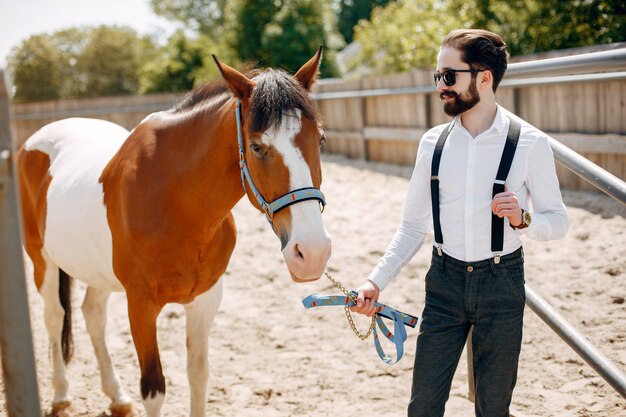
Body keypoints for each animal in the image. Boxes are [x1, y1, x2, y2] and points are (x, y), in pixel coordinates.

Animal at [17, 47, 332, 414]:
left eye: (320, 139)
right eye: (256, 147)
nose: (312, 253)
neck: (174, 201)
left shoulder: (205, 301)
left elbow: (198, 375)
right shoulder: (140, 306)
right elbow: (154, 388)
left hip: (98, 272)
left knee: (92, 315)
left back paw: (116, 397)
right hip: (42, 261)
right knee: (54, 316)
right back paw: (60, 395)